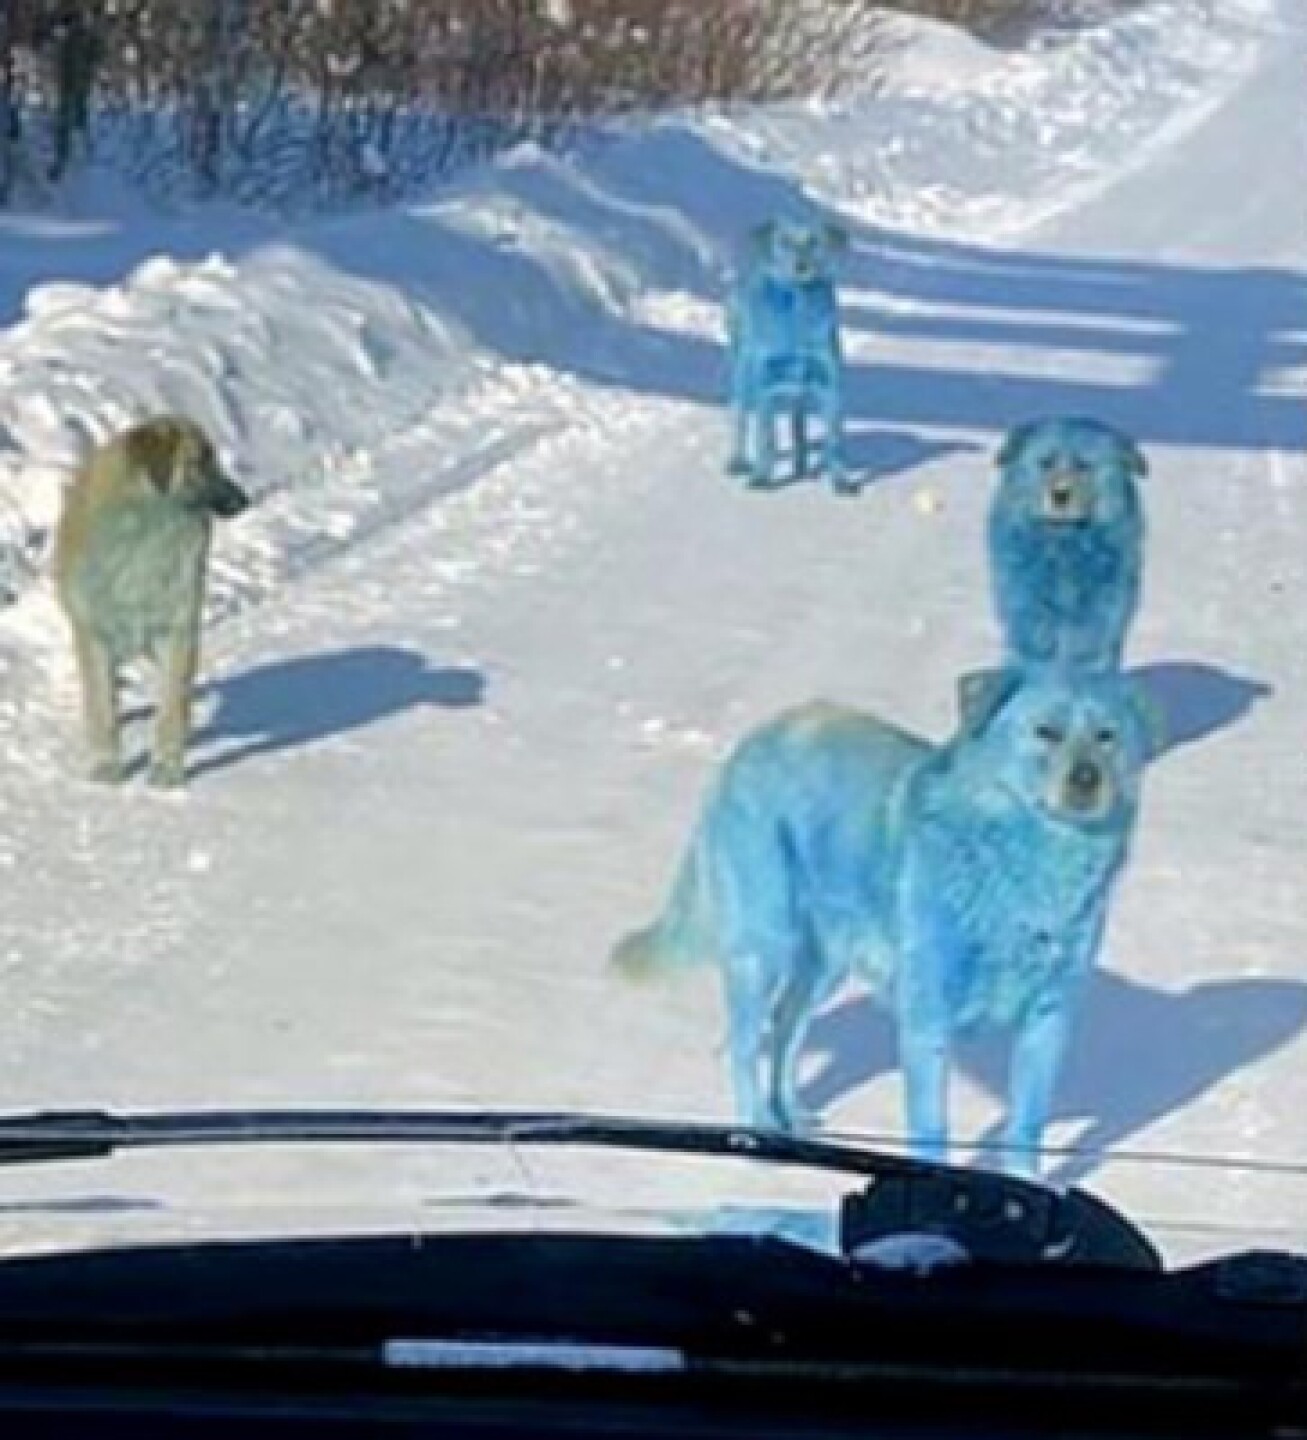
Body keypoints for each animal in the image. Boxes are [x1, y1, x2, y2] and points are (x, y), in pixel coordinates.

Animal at [610, 668, 1151, 1175]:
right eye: (1046, 731)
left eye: (1106, 735)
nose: (1087, 778)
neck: (1023, 858)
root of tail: (759, 736)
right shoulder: (927, 1017)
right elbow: (932, 1127)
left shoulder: (1048, 1017)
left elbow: (1027, 1124)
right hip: (764, 947)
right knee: (744, 1045)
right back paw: (757, 1136)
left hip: (825, 963)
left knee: (786, 1027)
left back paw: (792, 1122)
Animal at [719, 217, 852, 489]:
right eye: (784, 241)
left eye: (814, 241)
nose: (801, 266)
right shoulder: (766, 384)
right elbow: (765, 437)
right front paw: (761, 477)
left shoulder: (830, 383)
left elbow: (834, 439)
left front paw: (840, 479)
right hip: (742, 373)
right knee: (740, 417)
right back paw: (738, 460)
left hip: (798, 391)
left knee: (797, 424)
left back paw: (802, 467)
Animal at [990, 411, 1145, 668]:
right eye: (1046, 463)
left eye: (1084, 466)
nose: (1060, 495)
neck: (1064, 541)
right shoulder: (1027, 613)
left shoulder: (1103, 617)